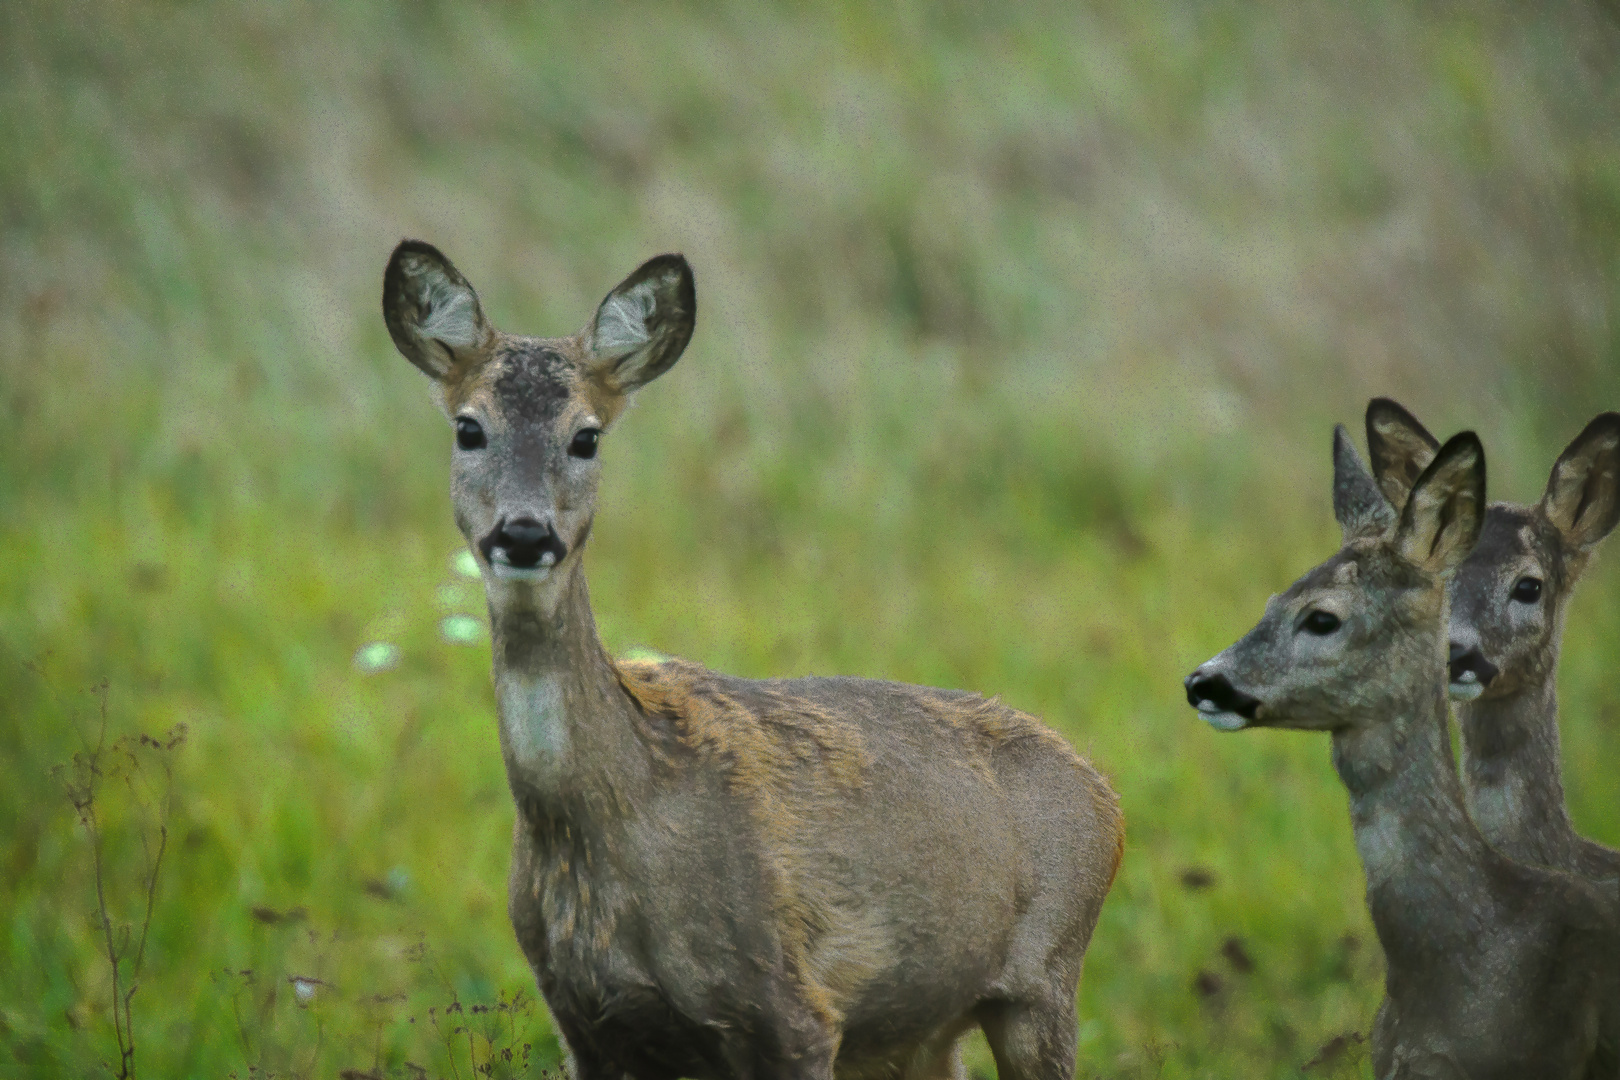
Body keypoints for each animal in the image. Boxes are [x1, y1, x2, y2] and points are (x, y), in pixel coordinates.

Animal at [380, 241, 1121, 1080]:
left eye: (587, 435)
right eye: (469, 428)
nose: (526, 533)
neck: (612, 813)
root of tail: (1104, 793)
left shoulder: (795, 1010)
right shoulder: (584, 1023)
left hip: (1044, 980)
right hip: (925, 1027)